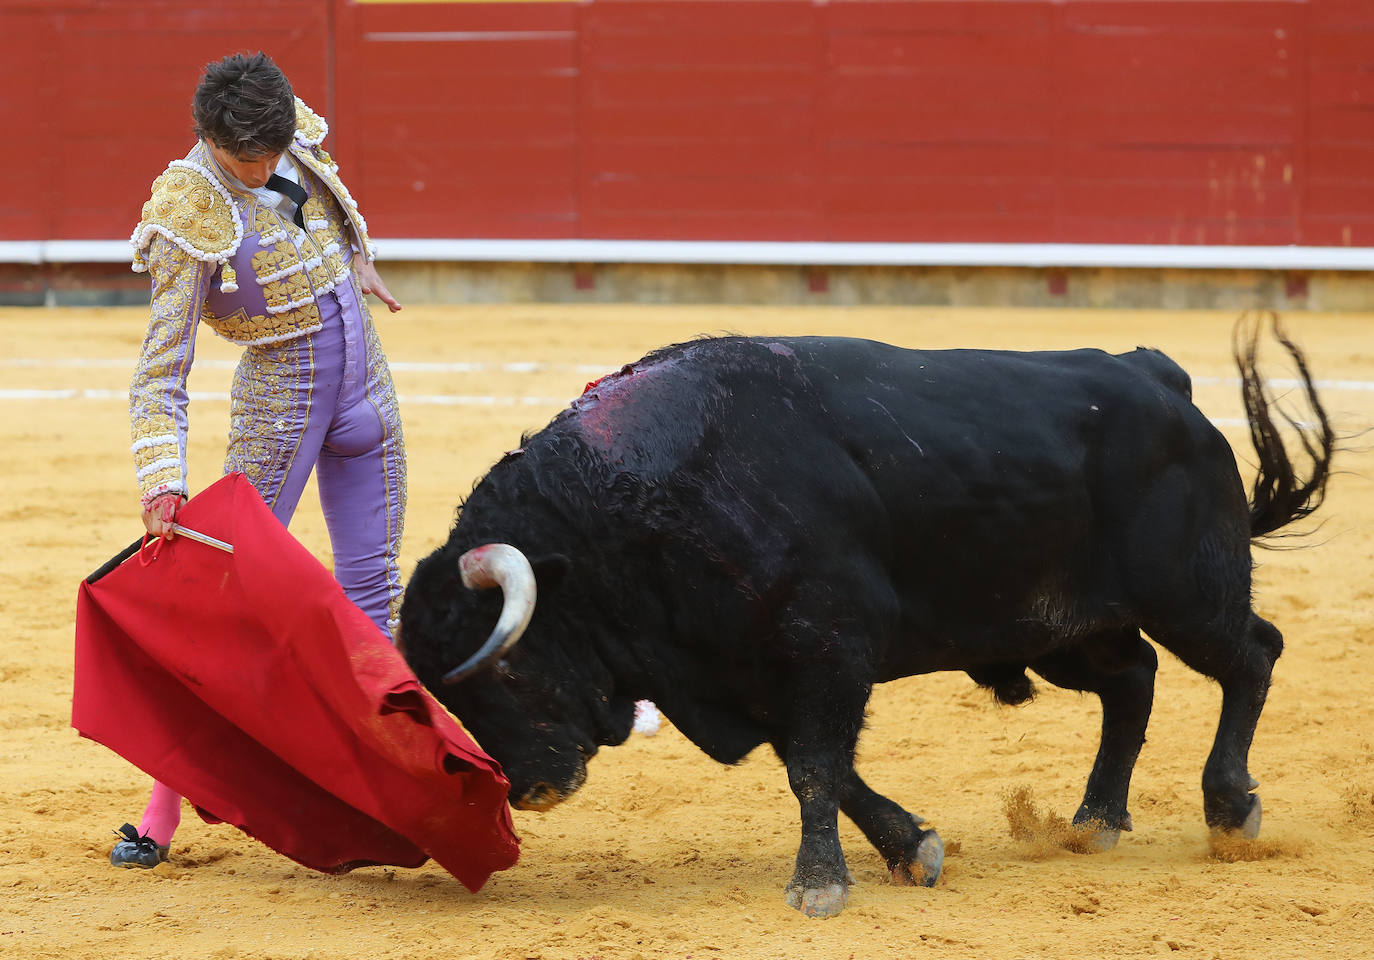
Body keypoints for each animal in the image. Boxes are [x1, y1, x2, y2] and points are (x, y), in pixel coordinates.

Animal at [398, 311, 1330, 917]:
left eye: (505, 661)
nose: (532, 789)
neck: (631, 511)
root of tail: (1155, 373)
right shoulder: (753, 671)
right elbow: (824, 765)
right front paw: (910, 848)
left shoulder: (827, 644)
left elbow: (813, 766)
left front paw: (820, 885)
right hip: (1064, 625)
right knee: (1132, 682)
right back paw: (1095, 821)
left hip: (1188, 593)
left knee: (1252, 655)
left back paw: (1229, 810)